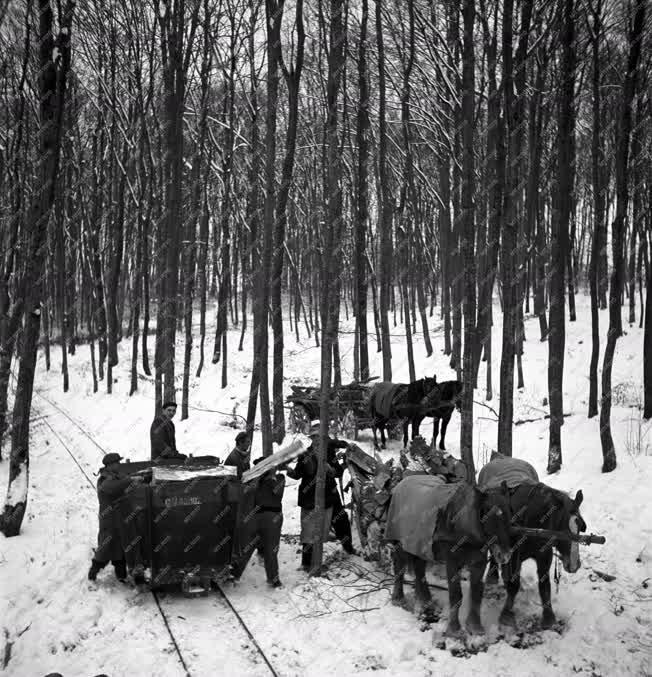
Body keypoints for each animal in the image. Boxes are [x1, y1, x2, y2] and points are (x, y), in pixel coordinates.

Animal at [382, 472, 516, 636]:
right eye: (487, 516)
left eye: (509, 513)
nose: (505, 555)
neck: (460, 523)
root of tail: (401, 484)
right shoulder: (452, 562)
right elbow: (456, 595)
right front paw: (454, 630)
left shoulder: (478, 562)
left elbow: (476, 593)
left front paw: (475, 627)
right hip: (401, 543)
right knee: (399, 567)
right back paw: (399, 599)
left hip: (421, 545)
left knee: (419, 569)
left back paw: (425, 600)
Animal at [478, 454, 592, 628]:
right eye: (561, 528)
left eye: (580, 527)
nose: (573, 565)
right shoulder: (513, 555)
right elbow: (514, 584)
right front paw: (506, 614)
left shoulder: (544, 555)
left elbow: (544, 585)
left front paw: (548, 617)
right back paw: (493, 575)